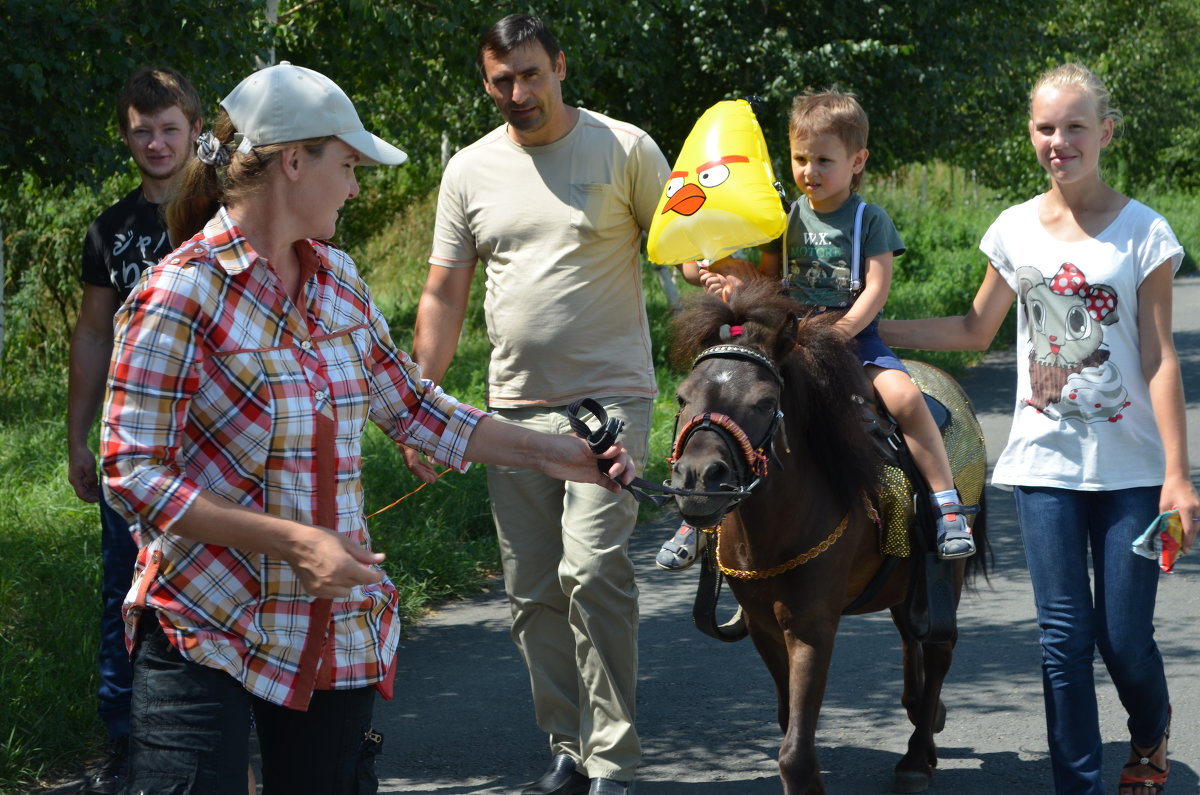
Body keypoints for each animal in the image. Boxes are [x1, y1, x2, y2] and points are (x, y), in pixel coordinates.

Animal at [667, 277, 984, 792]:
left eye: (764, 402)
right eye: (681, 397)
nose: (697, 479)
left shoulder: (812, 627)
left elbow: (794, 753)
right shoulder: (763, 625)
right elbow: (787, 723)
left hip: (946, 575)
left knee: (938, 650)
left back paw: (918, 757)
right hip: (904, 586)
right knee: (908, 637)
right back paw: (924, 714)